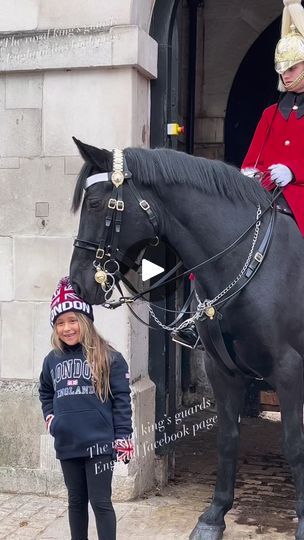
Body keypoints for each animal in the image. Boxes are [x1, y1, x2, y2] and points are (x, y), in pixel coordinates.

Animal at [70, 140, 304, 540]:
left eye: (97, 204)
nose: (78, 282)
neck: (251, 265)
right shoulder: (222, 369)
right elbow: (228, 438)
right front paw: (214, 515)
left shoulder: (289, 371)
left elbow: (293, 445)